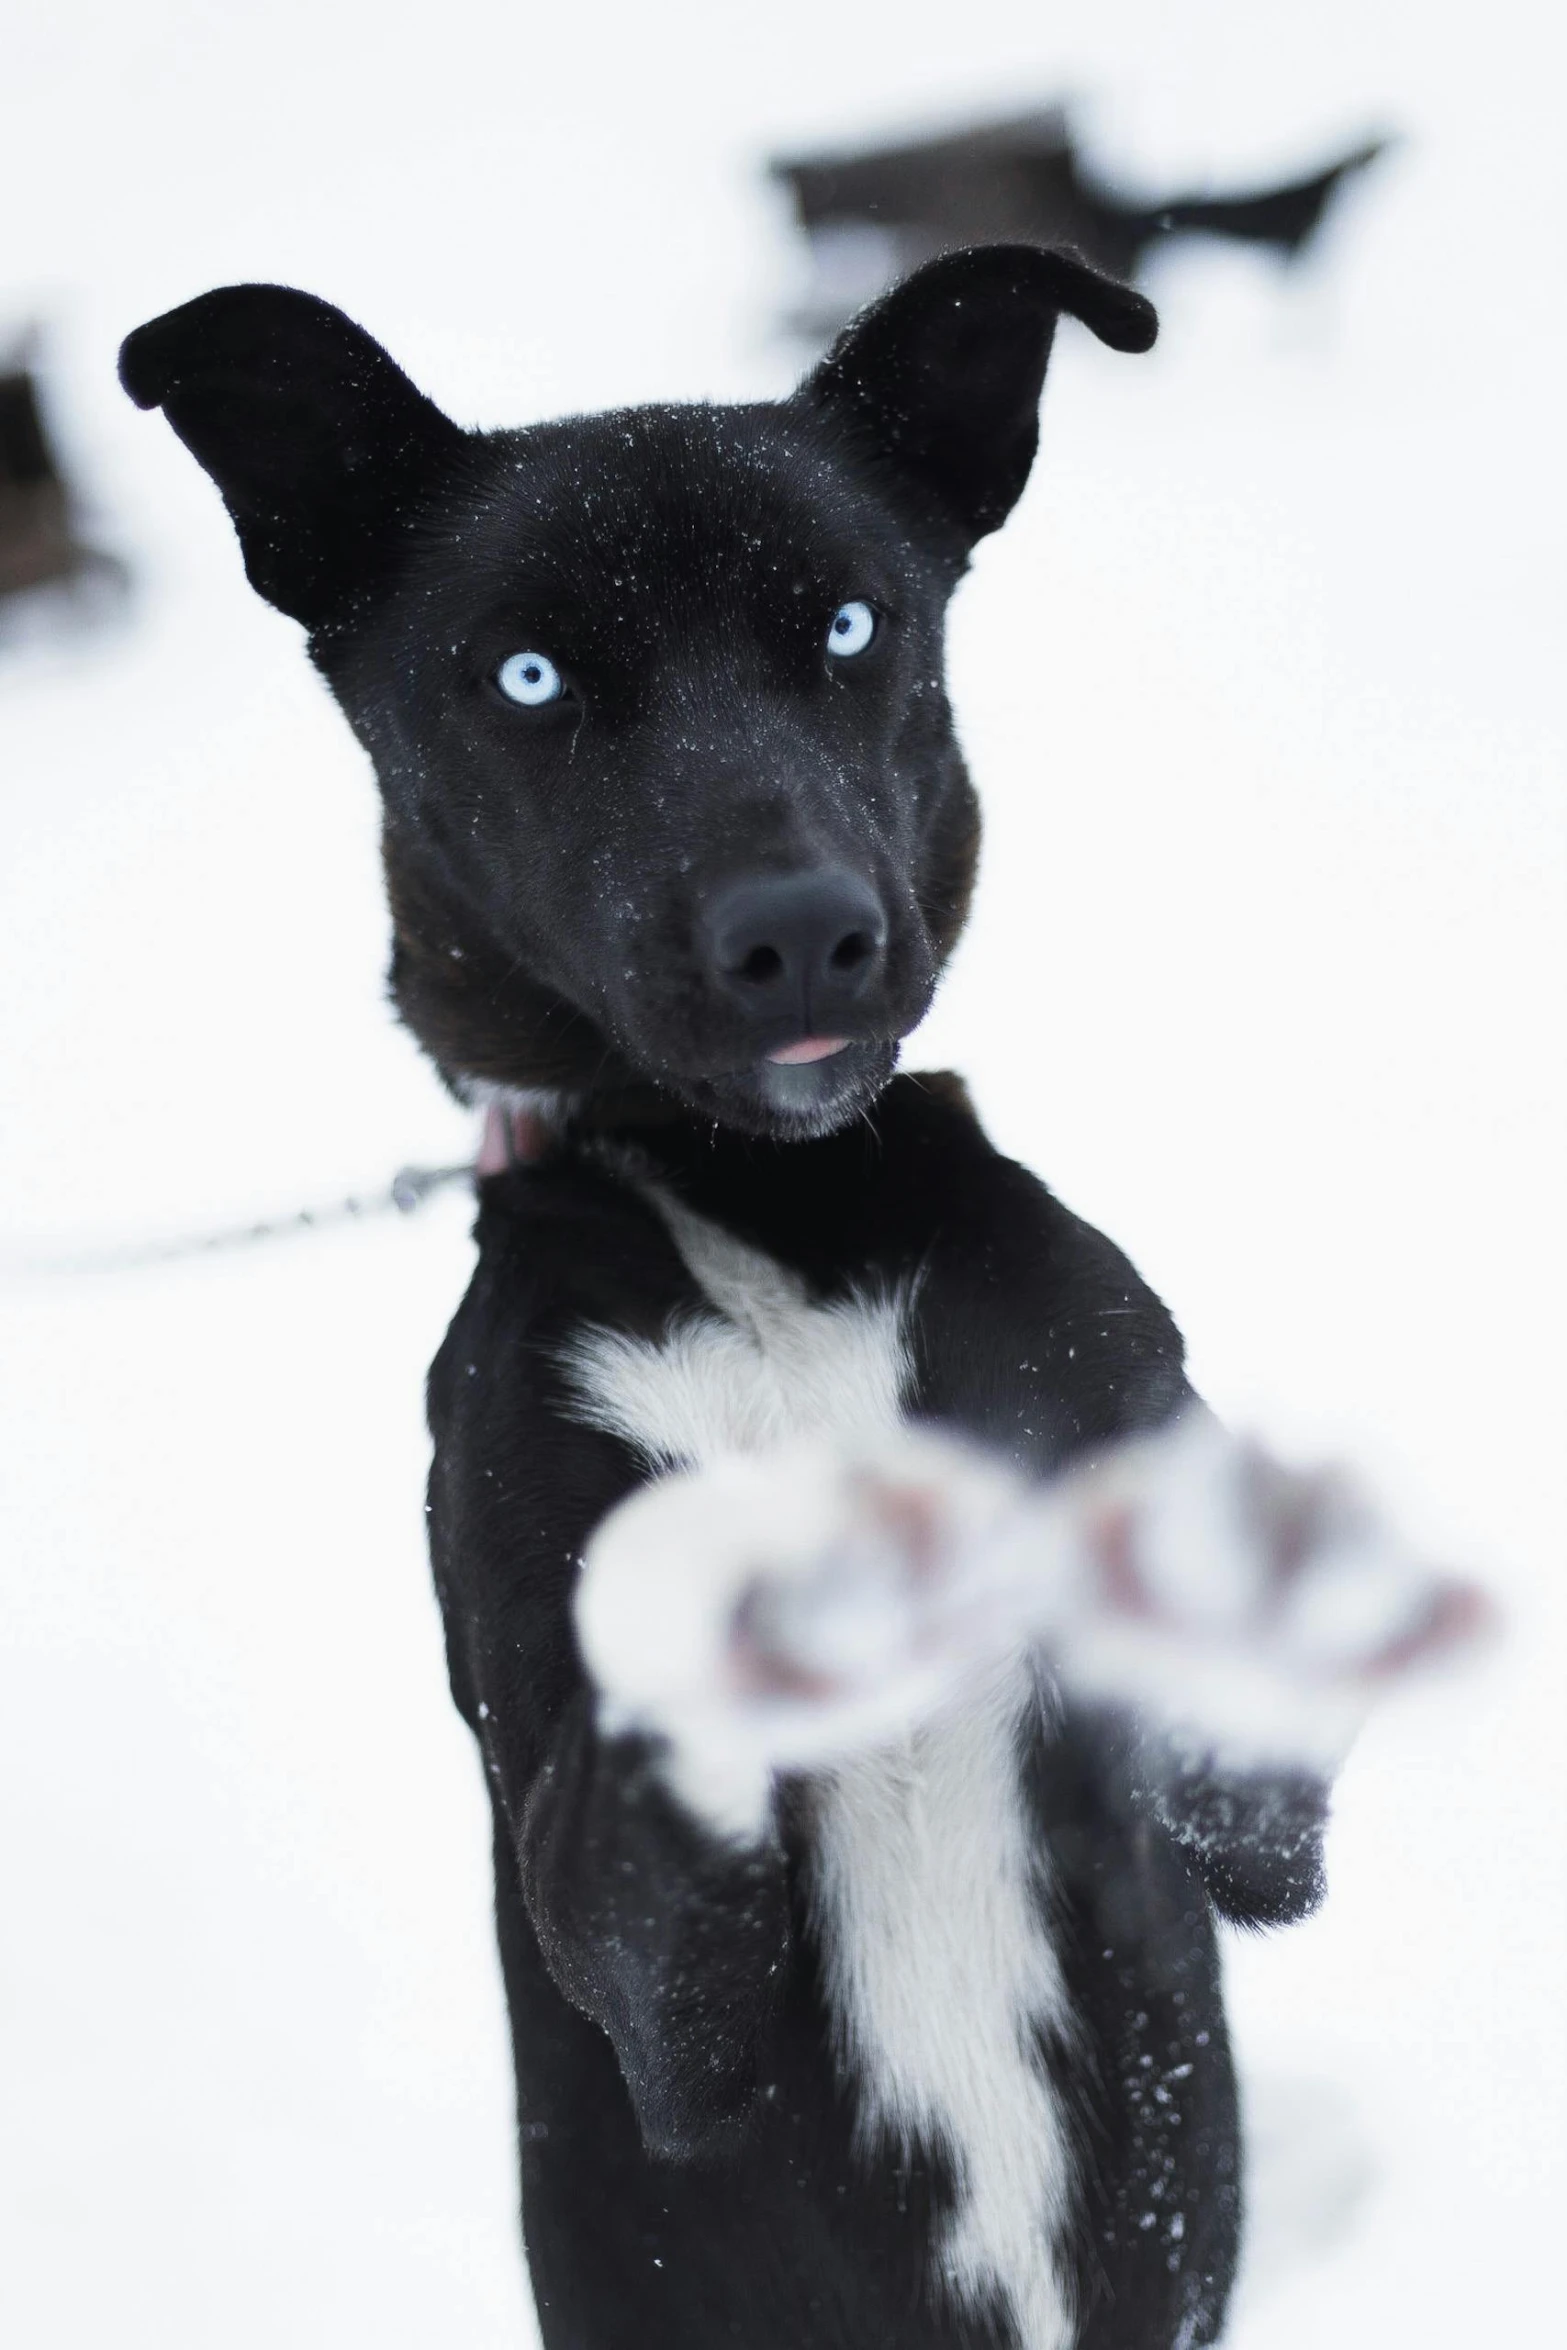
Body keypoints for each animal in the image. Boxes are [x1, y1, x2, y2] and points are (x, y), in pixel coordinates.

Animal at [122, 257, 1484, 2350]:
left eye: (853, 622)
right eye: (526, 677)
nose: (799, 936)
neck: (750, 1203)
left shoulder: (1221, 1789)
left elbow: (1225, 1698)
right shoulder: (630, 1964)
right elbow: (637, 1797)